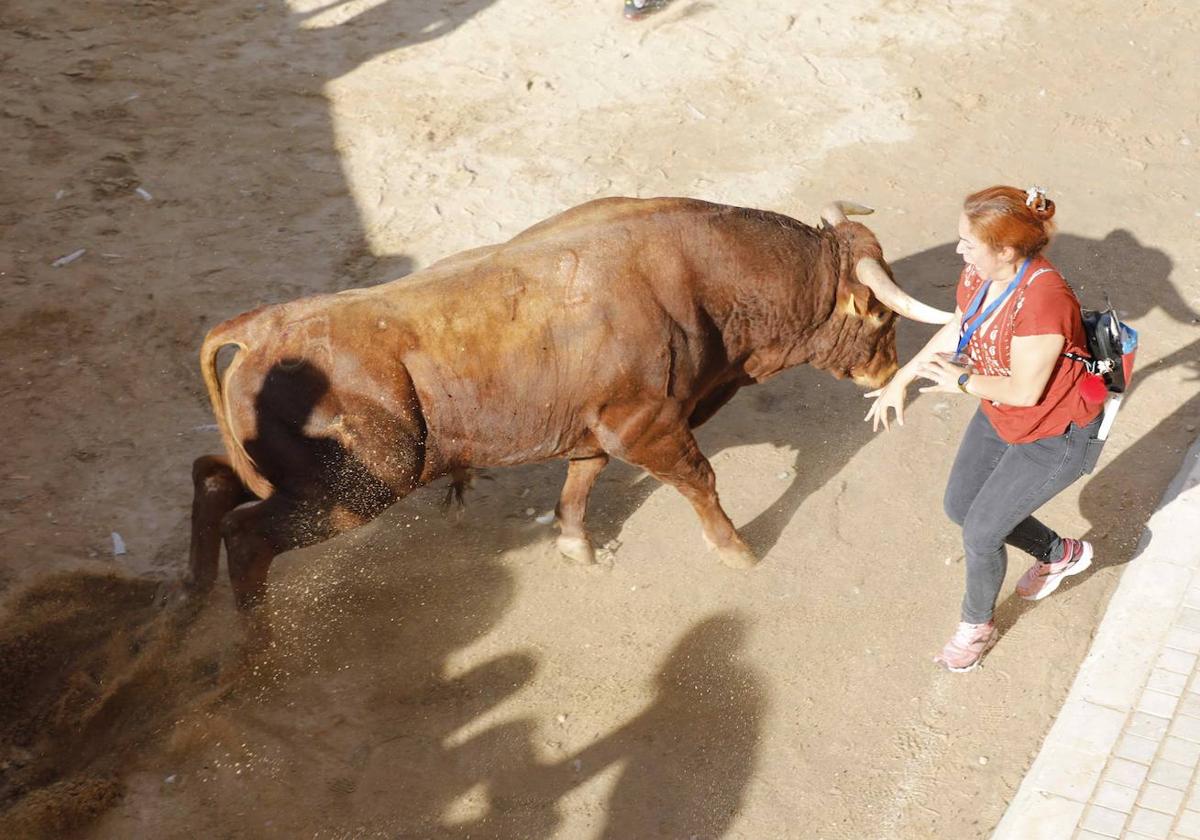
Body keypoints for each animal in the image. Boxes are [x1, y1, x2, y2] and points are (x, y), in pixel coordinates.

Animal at [187, 195, 950, 609]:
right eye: (879, 317)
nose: (886, 369)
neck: (707, 276)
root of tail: (261, 328)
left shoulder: (603, 426)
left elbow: (582, 481)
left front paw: (576, 546)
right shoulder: (651, 426)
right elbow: (700, 482)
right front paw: (738, 551)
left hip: (302, 481)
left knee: (214, 479)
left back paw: (201, 604)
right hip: (359, 486)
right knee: (247, 535)